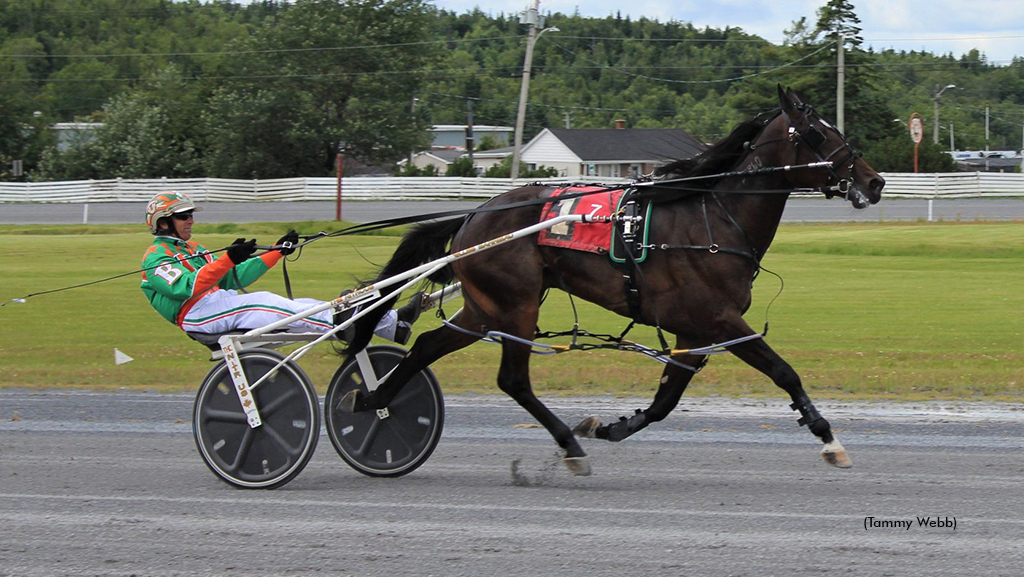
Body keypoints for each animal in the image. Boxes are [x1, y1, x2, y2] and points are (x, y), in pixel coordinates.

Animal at [339, 84, 884, 473]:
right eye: (818, 133)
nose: (874, 181)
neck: (713, 219)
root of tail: (474, 215)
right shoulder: (721, 321)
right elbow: (784, 371)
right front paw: (829, 437)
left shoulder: (693, 331)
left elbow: (665, 400)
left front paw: (610, 427)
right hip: (515, 305)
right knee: (511, 378)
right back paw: (564, 443)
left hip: (485, 309)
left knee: (427, 347)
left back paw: (374, 398)